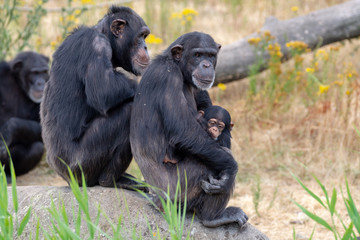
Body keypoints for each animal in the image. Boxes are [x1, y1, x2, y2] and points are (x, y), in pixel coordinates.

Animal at [40, 5, 150, 190]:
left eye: (145, 36)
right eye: (140, 36)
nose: (146, 46)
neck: (104, 34)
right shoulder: (97, 45)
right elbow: (104, 89)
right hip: (82, 165)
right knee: (128, 111)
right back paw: (111, 180)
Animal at [131, 32, 249, 229]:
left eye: (210, 55)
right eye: (198, 55)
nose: (206, 64)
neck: (179, 68)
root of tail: (155, 198)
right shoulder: (167, 77)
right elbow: (184, 132)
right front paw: (230, 169)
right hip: (176, 193)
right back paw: (214, 217)